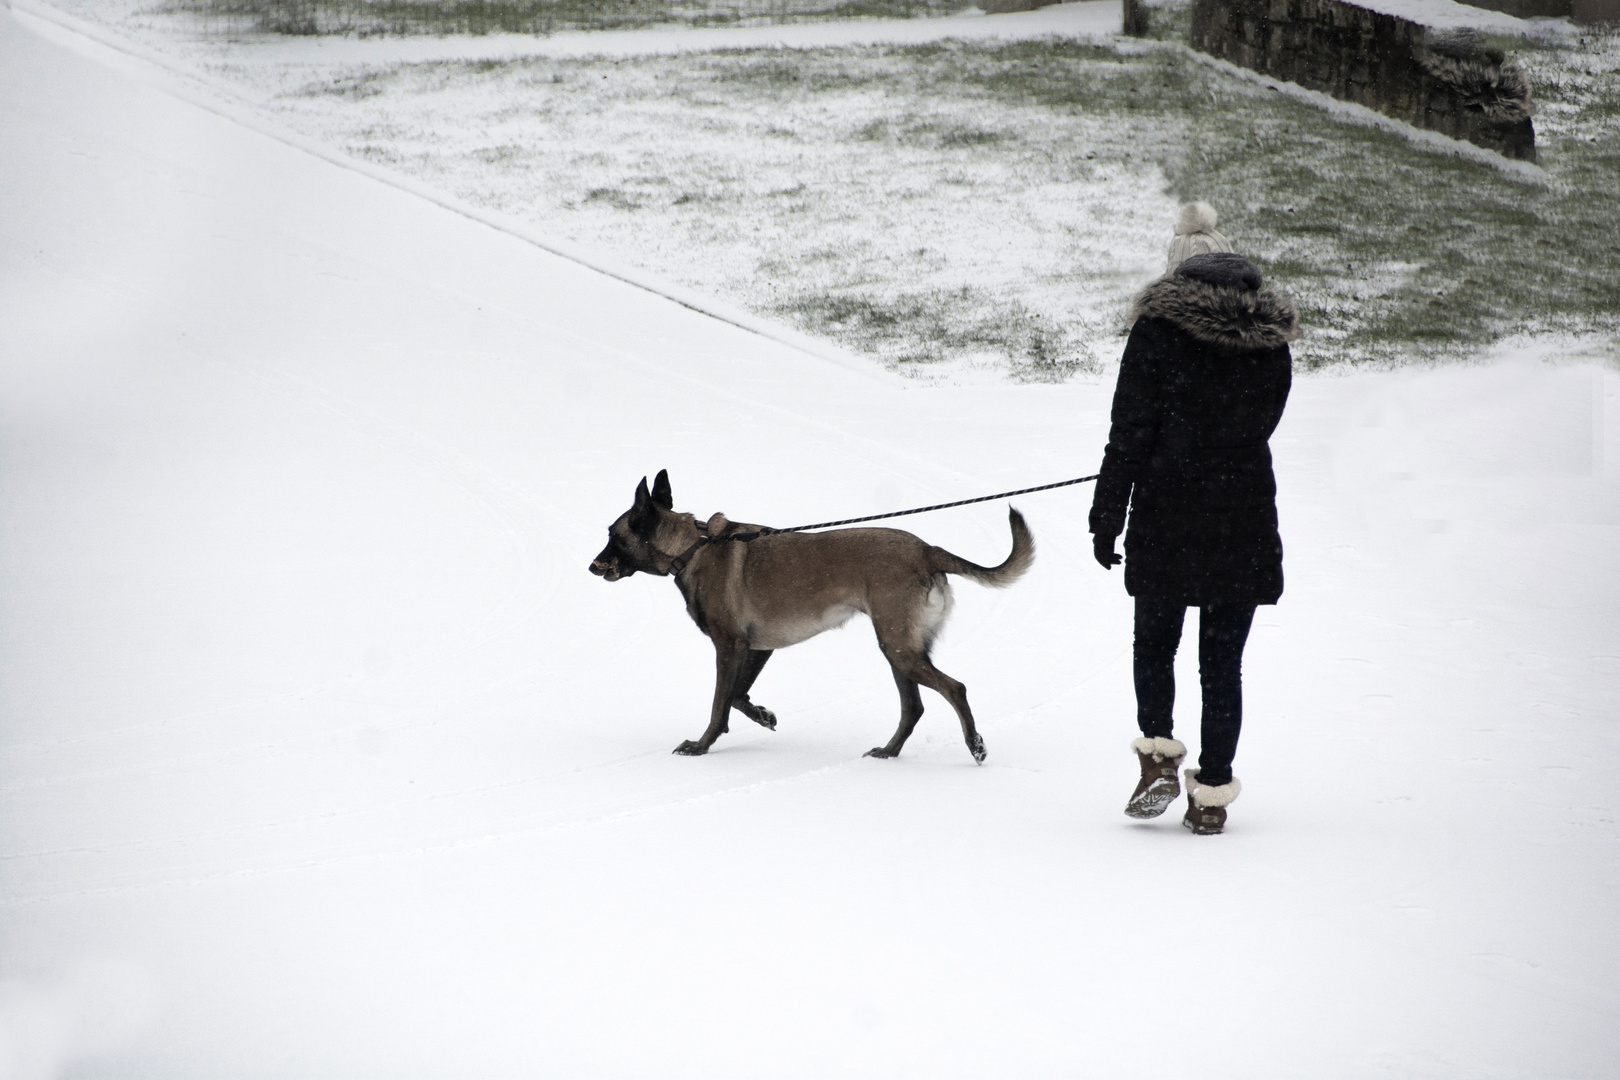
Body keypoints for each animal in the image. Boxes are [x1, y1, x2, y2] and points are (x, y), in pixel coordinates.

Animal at [589, 469, 1030, 764]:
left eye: (613, 535)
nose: (592, 566)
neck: (691, 548)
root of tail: (927, 550)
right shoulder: (757, 648)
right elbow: (737, 696)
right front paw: (763, 715)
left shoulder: (729, 647)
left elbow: (719, 703)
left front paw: (701, 745)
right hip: (899, 649)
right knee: (914, 708)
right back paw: (889, 751)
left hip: (899, 649)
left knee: (955, 688)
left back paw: (974, 745)